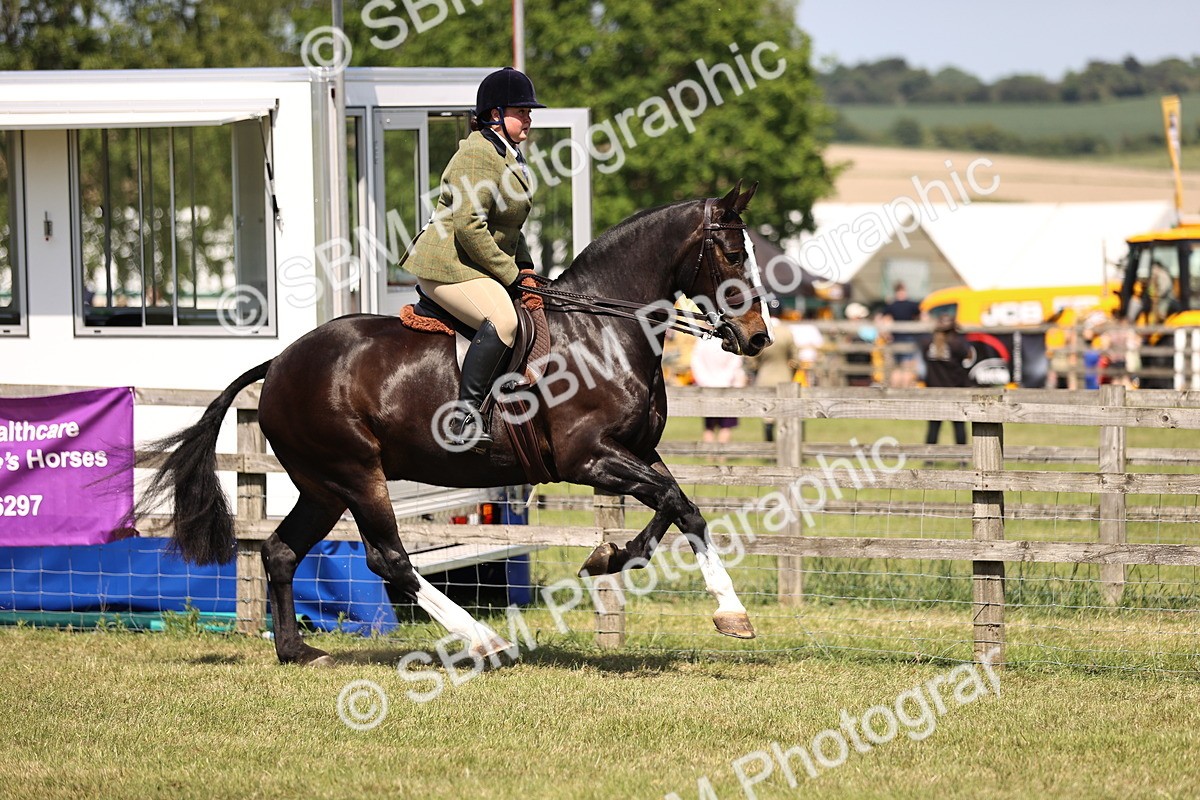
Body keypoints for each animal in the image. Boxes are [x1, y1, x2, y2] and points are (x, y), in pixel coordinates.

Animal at [142, 181, 772, 666]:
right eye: (732, 255)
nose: (758, 338)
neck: (603, 330)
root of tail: (279, 362)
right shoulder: (589, 457)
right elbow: (668, 503)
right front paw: (610, 557)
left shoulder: (636, 452)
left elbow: (683, 507)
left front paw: (729, 611)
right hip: (355, 474)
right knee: (388, 559)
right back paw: (485, 641)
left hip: (322, 486)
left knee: (278, 552)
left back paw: (298, 651)